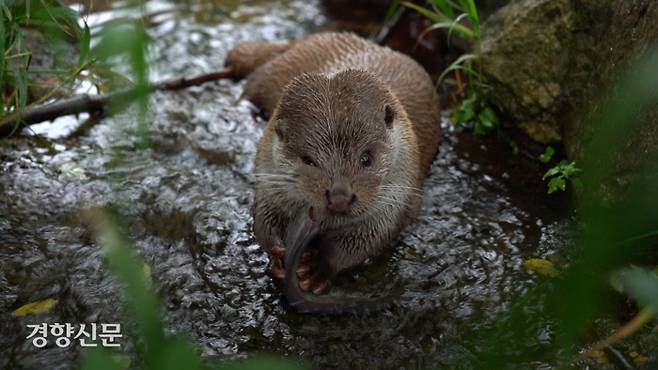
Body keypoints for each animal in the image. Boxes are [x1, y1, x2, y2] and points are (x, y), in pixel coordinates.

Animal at [223, 31, 438, 310]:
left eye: (366, 157)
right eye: (308, 160)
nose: (339, 197)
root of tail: (304, 40)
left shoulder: (397, 200)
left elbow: (366, 240)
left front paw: (318, 268)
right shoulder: (268, 178)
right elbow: (262, 220)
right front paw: (276, 253)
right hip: (273, 72)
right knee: (252, 84)